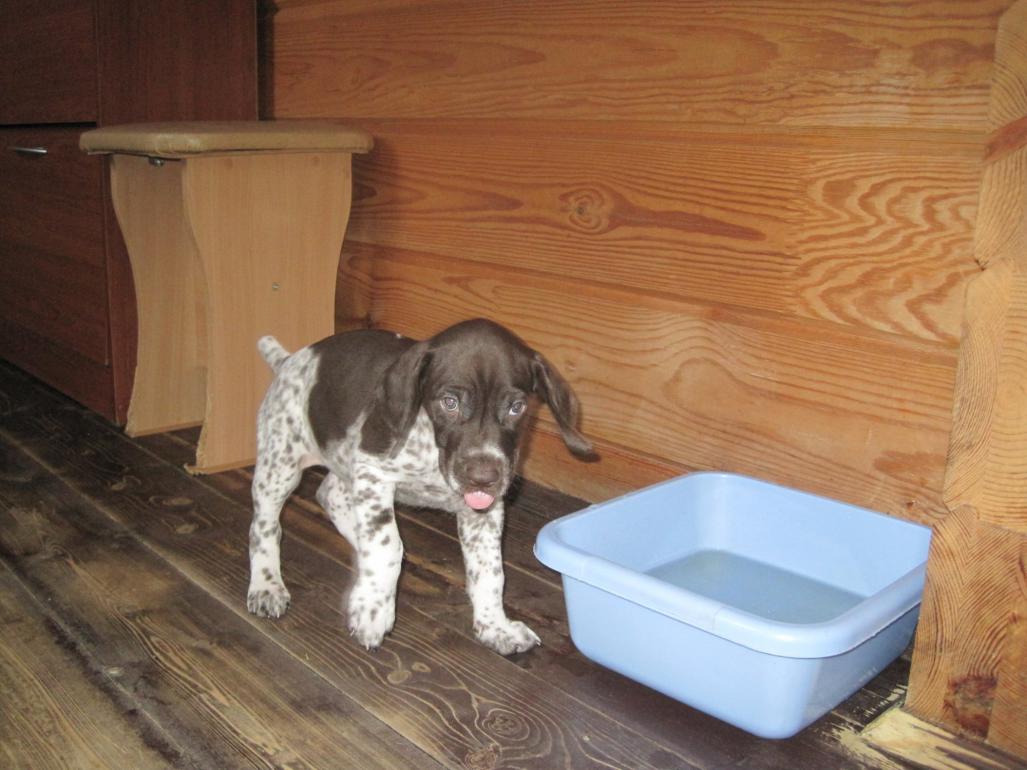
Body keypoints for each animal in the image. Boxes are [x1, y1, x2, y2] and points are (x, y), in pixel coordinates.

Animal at [247, 318, 593, 655]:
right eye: (449, 402)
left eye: (516, 407)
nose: (483, 477)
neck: (432, 449)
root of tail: (290, 359)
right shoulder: (373, 472)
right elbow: (387, 543)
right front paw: (372, 607)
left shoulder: (483, 511)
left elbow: (490, 571)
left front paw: (495, 626)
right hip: (280, 467)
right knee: (264, 527)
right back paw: (266, 585)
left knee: (329, 495)